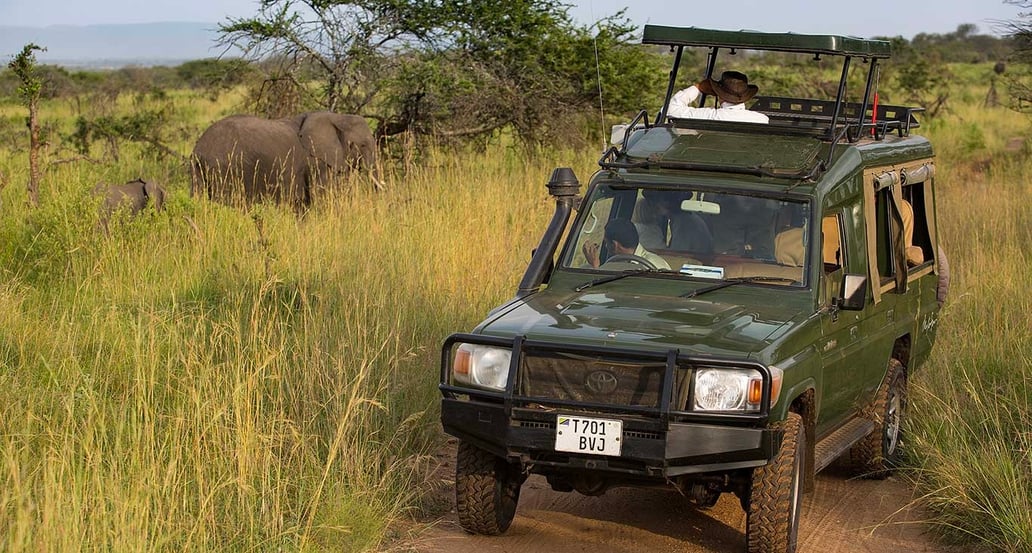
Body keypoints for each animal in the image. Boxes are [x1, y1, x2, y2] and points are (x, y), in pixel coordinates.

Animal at [191, 111, 377, 208]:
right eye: (362, 145)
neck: (338, 117)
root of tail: (198, 149)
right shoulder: (318, 163)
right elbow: (323, 199)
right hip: (224, 169)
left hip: (199, 171)